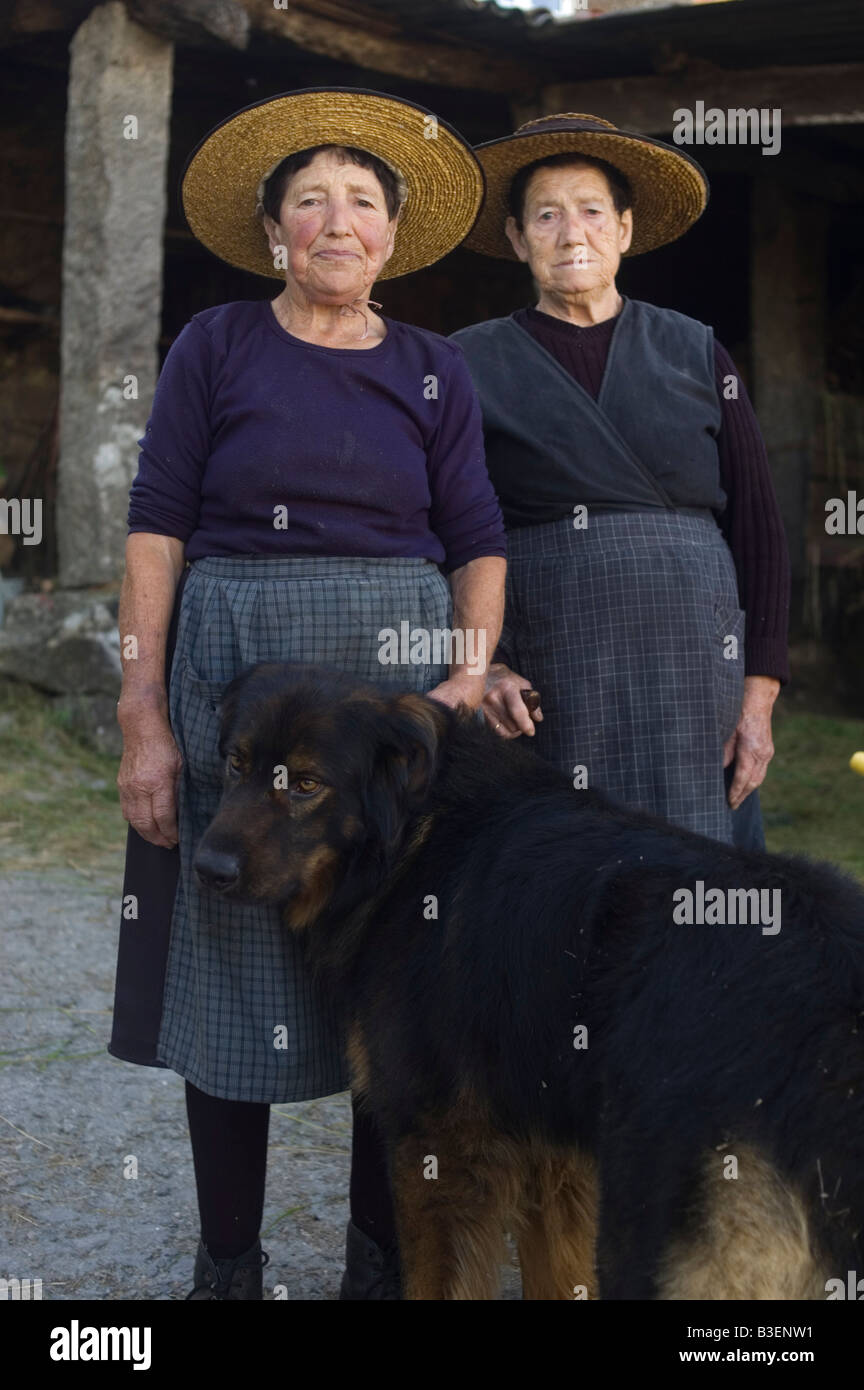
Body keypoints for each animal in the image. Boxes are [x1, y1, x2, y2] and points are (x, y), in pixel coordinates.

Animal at [193, 661, 864, 1301]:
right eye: (237, 764)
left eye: (307, 785)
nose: (207, 870)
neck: (412, 829)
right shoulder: (553, 1154)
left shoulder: (436, 1145)